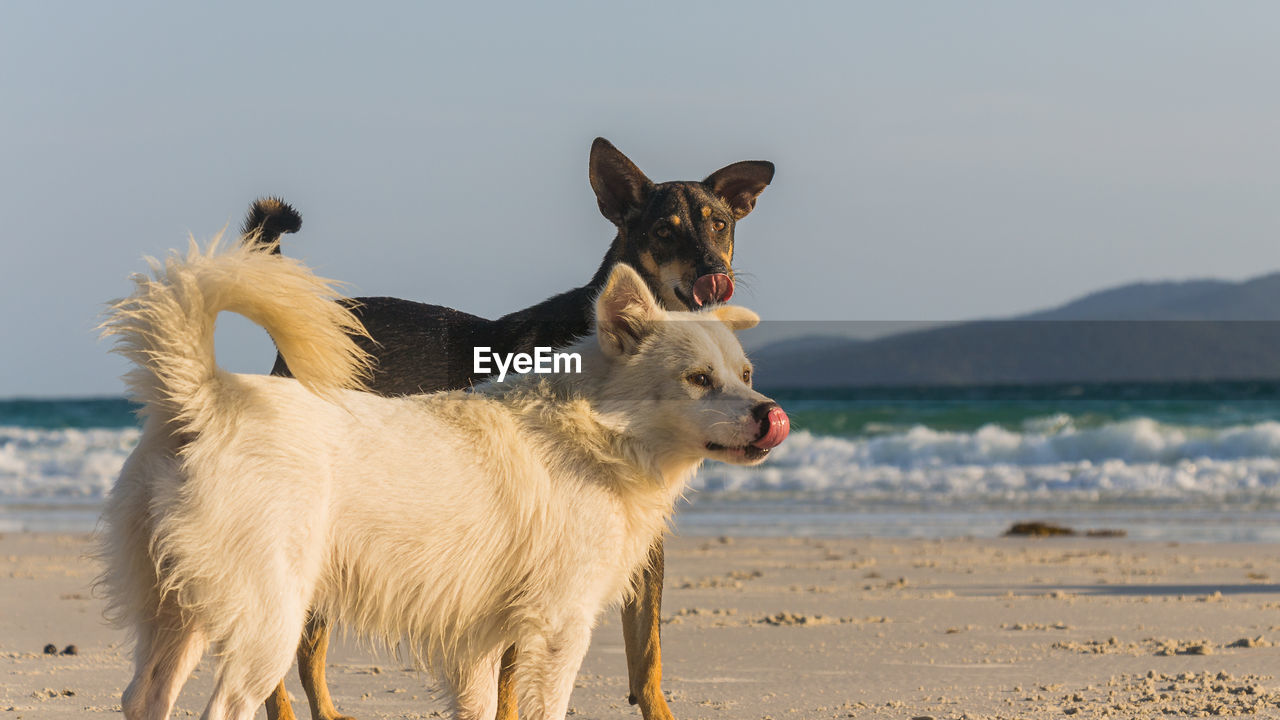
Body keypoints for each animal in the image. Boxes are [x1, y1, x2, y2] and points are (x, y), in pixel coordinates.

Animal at [94, 238, 783, 717]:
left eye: (746, 374)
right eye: (699, 379)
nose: (771, 414)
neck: (599, 429)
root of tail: (203, 398)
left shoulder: (479, 646)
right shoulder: (557, 629)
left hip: (179, 612)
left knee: (144, 697)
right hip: (268, 621)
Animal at [249, 139, 768, 717]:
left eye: (720, 224)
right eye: (663, 231)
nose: (713, 275)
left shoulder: (638, 549)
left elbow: (648, 655)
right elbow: (511, 681)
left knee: (307, 647)